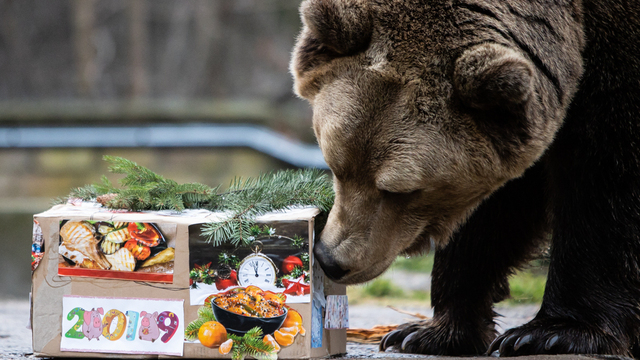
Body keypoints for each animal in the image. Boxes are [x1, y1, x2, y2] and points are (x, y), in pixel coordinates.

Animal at [292, 0, 640, 356]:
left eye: (404, 190)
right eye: (336, 165)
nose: (332, 260)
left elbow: (603, 178)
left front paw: (551, 333)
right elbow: (496, 210)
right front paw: (427, 332)